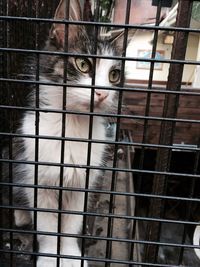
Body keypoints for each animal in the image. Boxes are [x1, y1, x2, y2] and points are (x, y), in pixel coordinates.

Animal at [10, 0, 125, 267]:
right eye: (83, 64)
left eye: (114, 75)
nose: (103, 93)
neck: (71, 126)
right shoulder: (37, 176)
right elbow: (47, 227)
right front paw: (50, 257)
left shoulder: (82, 183)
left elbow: (71, 224)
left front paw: (71, 255)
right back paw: (21, 215)